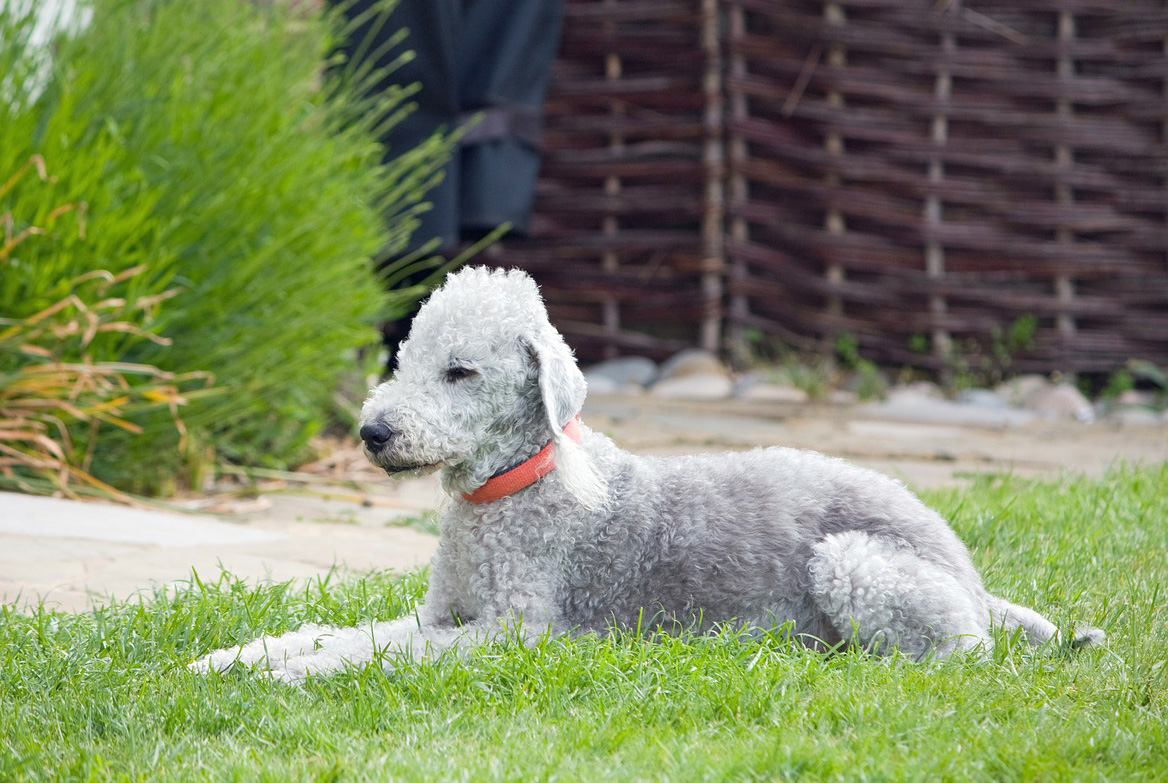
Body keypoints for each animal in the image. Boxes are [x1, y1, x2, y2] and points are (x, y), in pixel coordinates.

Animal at [193, 266, 1102, 682]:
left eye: (460, 371)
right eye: (403, 358)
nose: (373, 431)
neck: (510, 488)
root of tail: (967, 568)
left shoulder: (512, 632)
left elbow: (375, 651)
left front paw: (284, 673)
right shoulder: (442, 612)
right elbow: (345, 630)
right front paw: (232, 657)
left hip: (857, 563)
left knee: (960, 653)